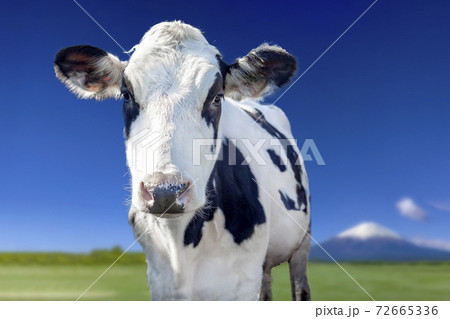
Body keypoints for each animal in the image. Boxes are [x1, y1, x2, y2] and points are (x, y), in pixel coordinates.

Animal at [54, 21, 312, 302]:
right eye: (126, 95)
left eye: (217, 97)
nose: (166, 192)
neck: (181, 245)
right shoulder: (160, 281)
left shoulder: (242, 281)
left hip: (301, 245)